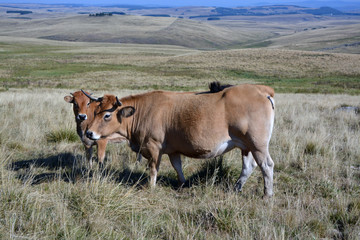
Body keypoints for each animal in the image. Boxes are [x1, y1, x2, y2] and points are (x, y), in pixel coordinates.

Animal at [85, 83, 276, 196]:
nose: (89, 133)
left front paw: (151, 187)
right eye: (95, 111)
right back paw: (237, 188)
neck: (143, 111)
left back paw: (267, 194)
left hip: (257, 145)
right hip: (246, 146)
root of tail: (260, 89)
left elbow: (153, 169)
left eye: (107, 115)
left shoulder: (154, 147)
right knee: (248, 167)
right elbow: (177, 167)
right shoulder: (173, 150)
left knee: (266, 165)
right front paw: (183, 184)